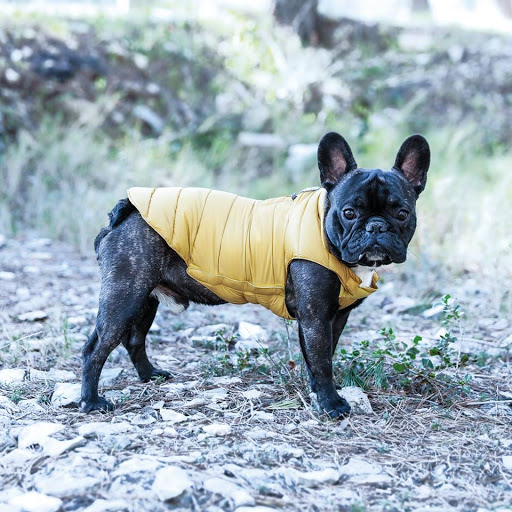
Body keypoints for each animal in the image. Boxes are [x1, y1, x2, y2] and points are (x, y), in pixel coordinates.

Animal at [80, 131, 430, 416]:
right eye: (349, 212)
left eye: (403, 213)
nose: (377, 226)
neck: (323, 230)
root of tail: (127, 211)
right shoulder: (316, 317)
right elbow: (322, 361)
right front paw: (331, 404)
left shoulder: (334, 317)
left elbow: (321, 356)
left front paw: (317, 393)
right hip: (126, 295)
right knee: (96, 349)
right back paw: (91, 401)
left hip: (145, 298)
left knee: (134, 339)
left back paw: (149, 375)